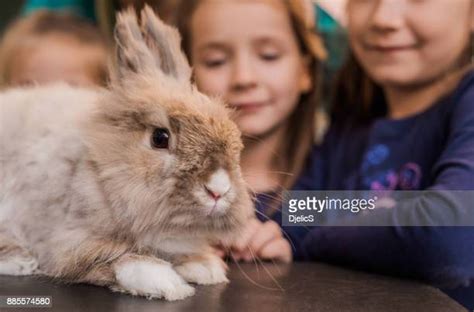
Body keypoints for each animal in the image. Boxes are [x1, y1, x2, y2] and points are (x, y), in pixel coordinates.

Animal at [0, 6, 254, 302]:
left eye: (232, 130)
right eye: (160, 138)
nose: (218, 189)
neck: (96, 167)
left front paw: (204, 267)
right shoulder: (67, 240)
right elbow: (120, 258)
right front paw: (168, 284)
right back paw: (21, 261)